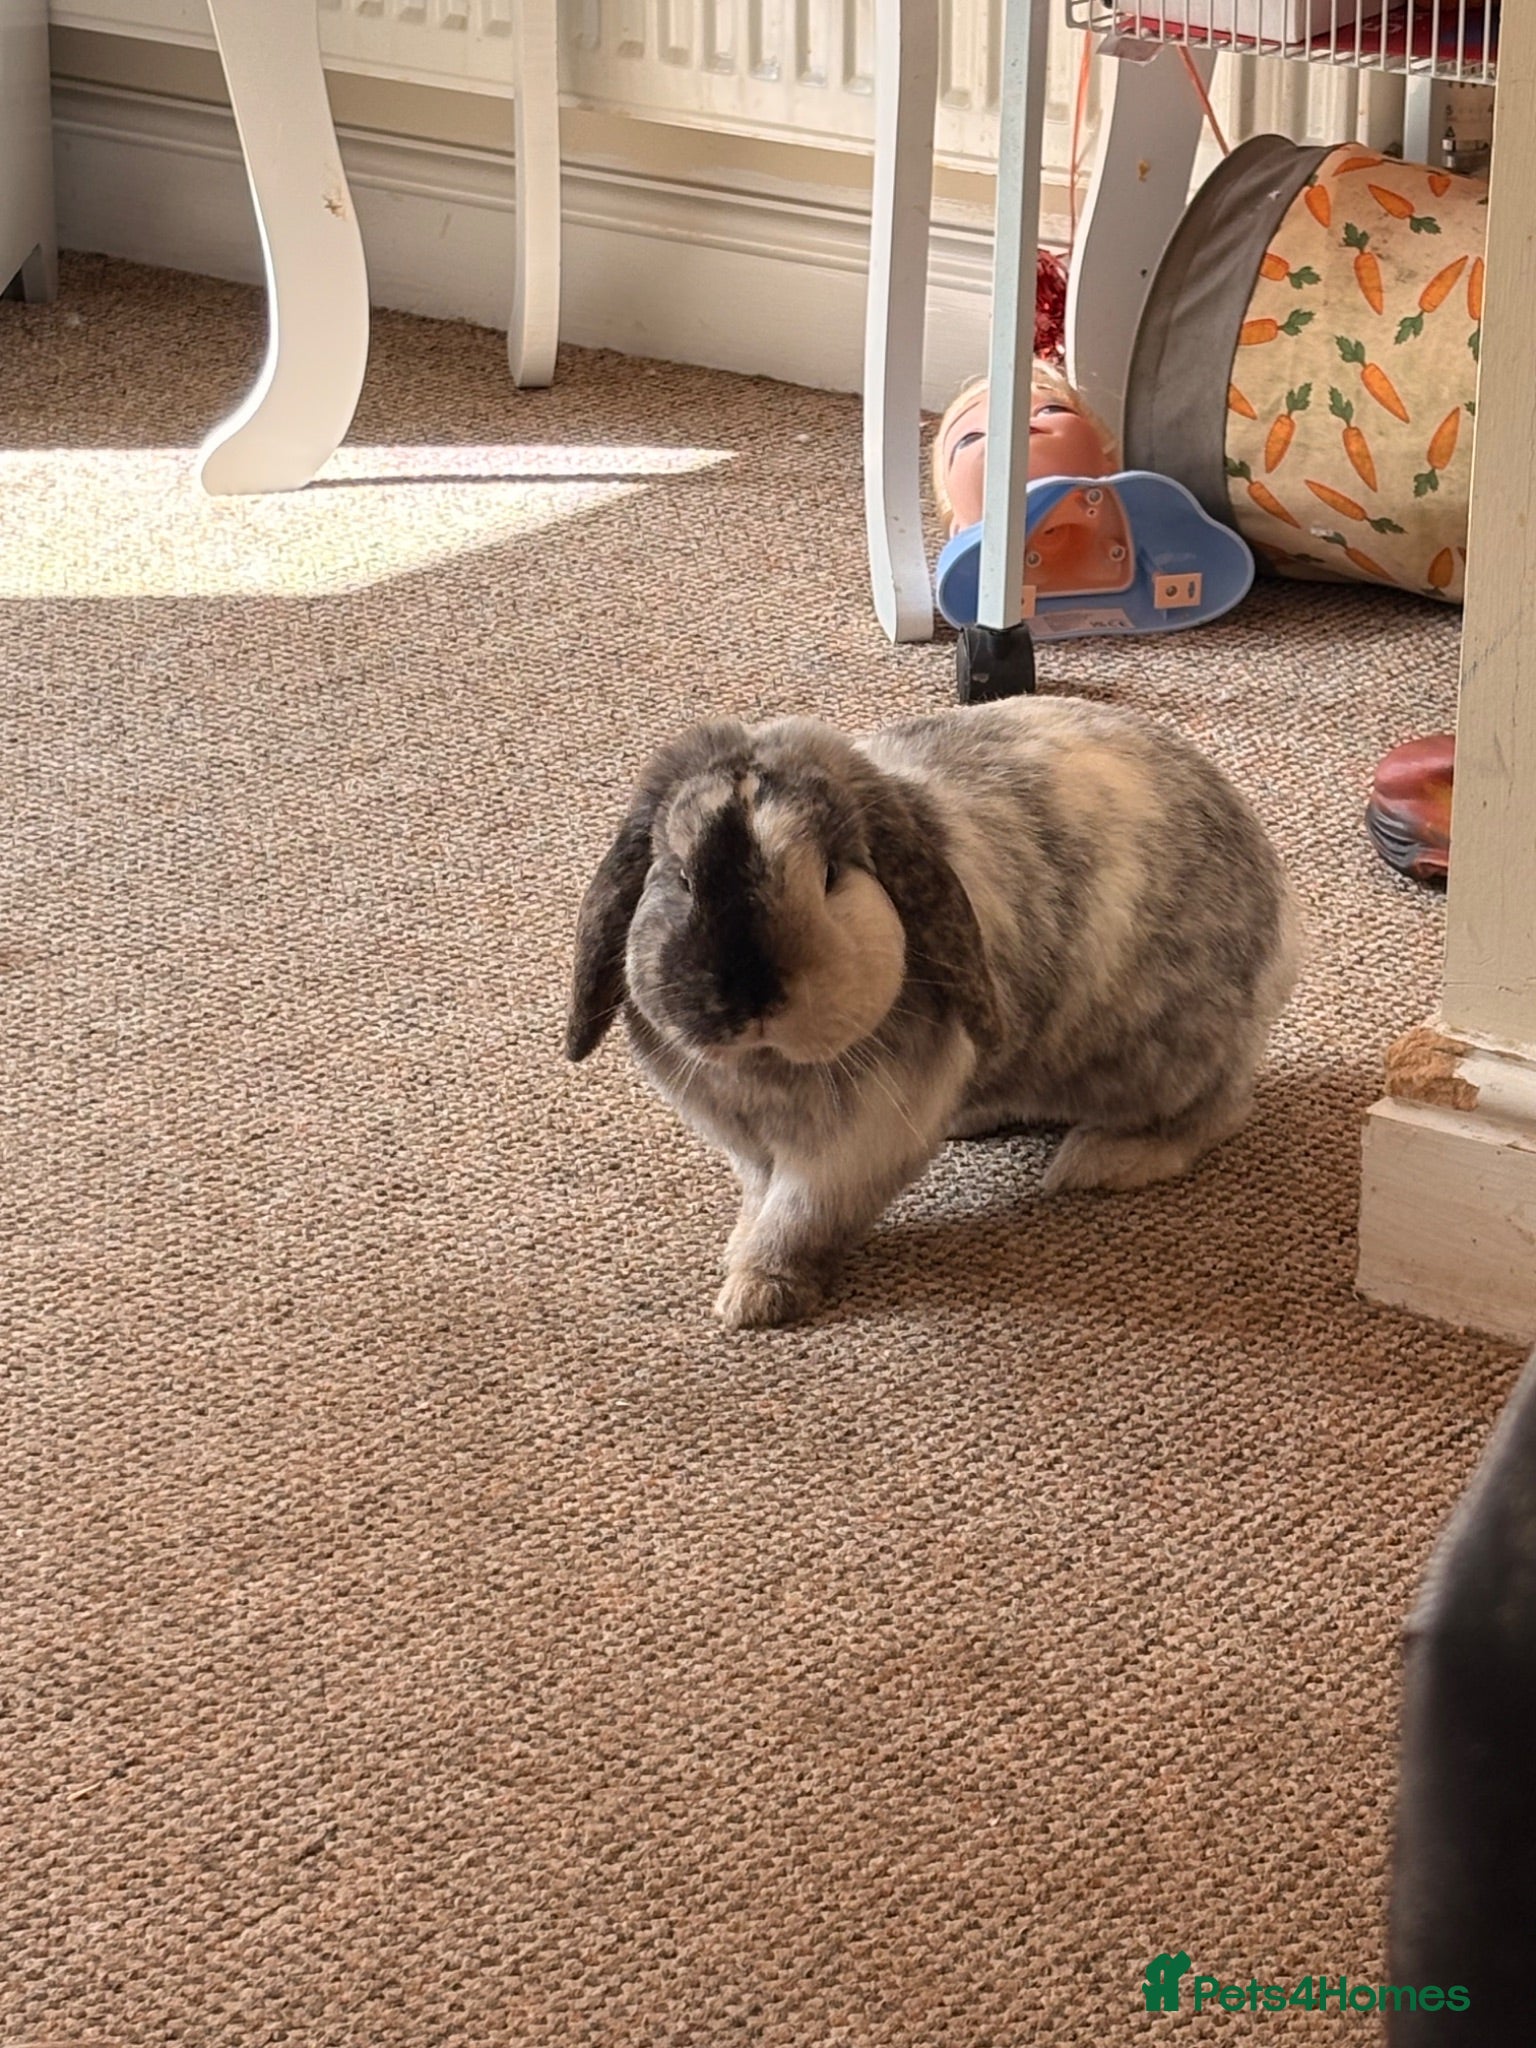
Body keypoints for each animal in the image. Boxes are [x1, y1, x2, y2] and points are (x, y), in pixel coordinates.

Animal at [566, 695, 1300, 1330]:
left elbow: (798, 1221)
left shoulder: (852, 1150)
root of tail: (1280, 915)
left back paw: (1098, 1161)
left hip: (1163, 1061)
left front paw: (753, 1297)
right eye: (681, 878)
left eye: (831, 875)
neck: (770, 1069)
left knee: (1214, 1113)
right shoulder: (752, 1150)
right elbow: (760, 1201)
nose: (750, 997)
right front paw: (736, 1251)